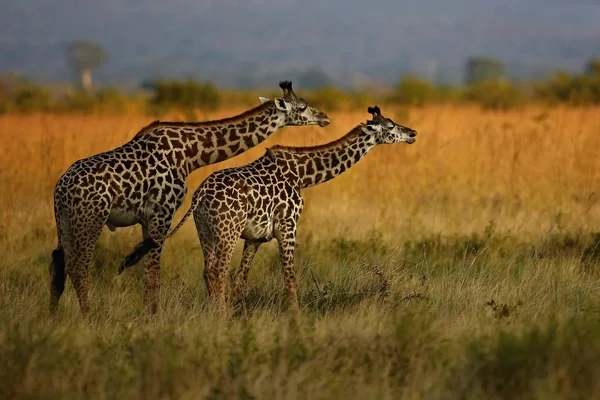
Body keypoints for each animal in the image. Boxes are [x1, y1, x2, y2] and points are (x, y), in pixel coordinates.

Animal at [49, 79, 332, 316]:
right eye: (303, 107)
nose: (325, 117)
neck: (190, 155)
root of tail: (61, 189)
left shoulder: (149, 218)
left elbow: (149, 270)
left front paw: (150, 315)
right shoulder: (162, 211)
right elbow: (154, 272)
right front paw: (156, 320)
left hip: (65, 221)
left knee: (59, 262)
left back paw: (53, 318)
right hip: (91, 218)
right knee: (79, 266)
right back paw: (88, 317)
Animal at [122, 107, 418, 312]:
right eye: (390, 125)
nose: (413, 133)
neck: (303, 175)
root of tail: (200, 195)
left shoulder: (256, 237)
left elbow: (241, 280)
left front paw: (236, 316)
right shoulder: (288, 227)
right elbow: (290, 276)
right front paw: (295, 319)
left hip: (205, 230)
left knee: (209, 271)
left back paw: (215, 314)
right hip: (227, 231)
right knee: (218, 271)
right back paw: (217, 317)